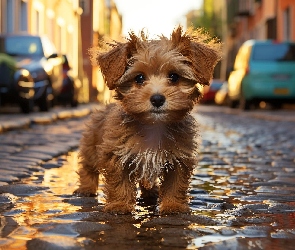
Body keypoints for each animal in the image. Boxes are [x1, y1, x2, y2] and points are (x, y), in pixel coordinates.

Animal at [74, 27, 222, 215]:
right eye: (139, 78)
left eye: (174, 76)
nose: (157, 99)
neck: (153, 125)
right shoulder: (115, 153)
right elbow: (119, 182)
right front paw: (119, 205)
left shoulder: (179, 158)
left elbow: (176, 184)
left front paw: (173, 206)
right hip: (91, 146)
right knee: (88, 167)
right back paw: (86, 189)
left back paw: (151, 193)